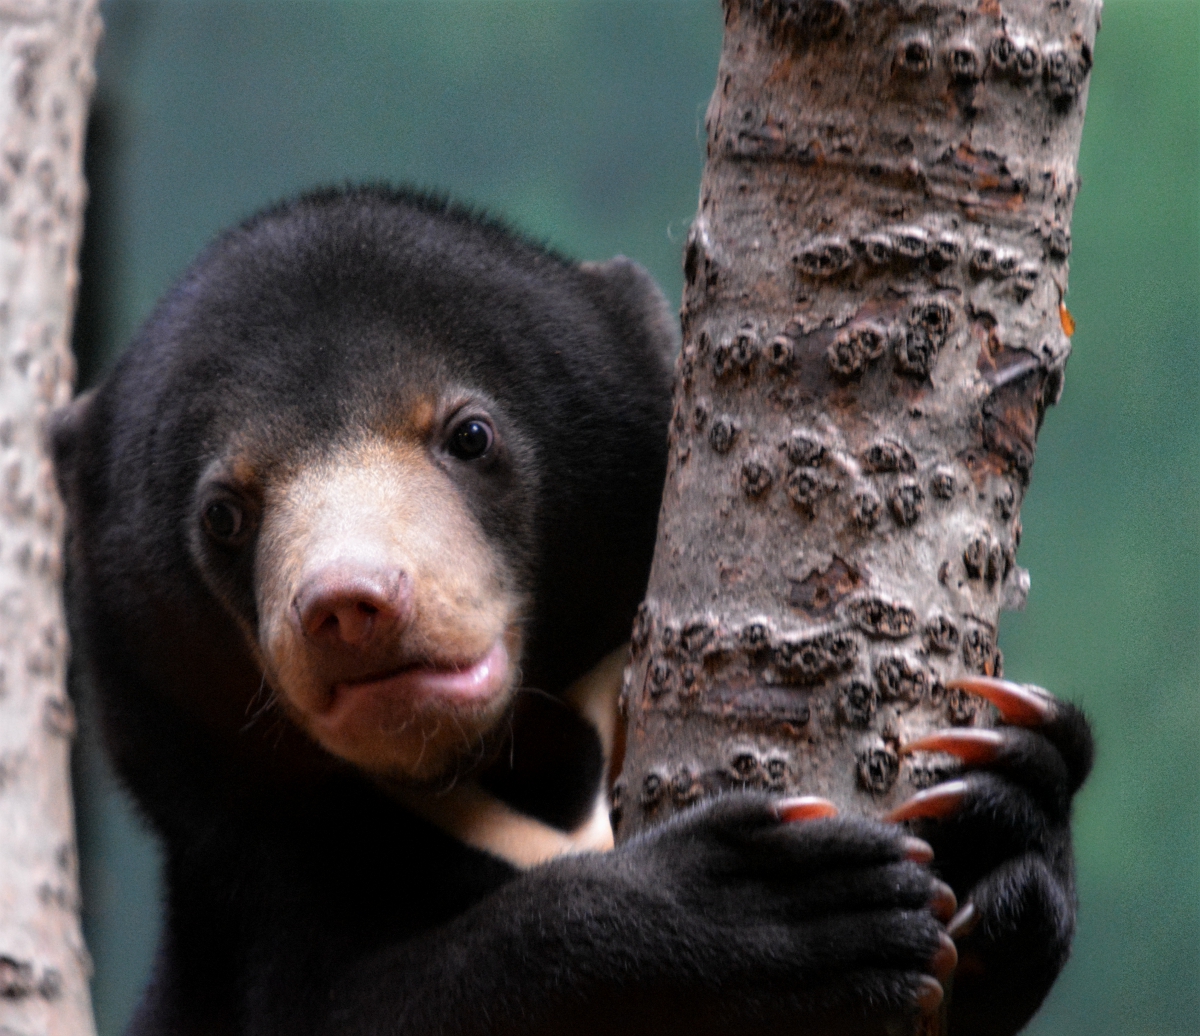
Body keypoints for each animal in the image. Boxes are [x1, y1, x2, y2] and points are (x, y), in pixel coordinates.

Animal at [54, 186, 1092, 1036]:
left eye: (470, 435)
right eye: (224, 514)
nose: (349, 605)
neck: (518, 777)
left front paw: (1004, 807)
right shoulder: (260, 892)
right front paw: (780, 911)